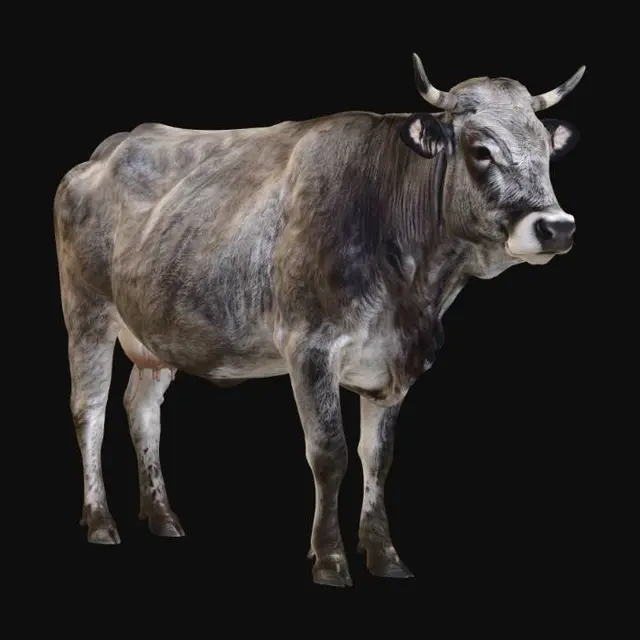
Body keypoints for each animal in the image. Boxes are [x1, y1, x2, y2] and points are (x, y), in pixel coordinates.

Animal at [54, 53, 584, 587]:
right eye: (481, 150)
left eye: (546, 150)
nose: (556, 228)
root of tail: (108, 150)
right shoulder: (308, 346)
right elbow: (329, 453)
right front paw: (329, 559)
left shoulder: (391, 361)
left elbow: (378, 457)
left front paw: (384, 554)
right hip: (87, 313)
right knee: (90, 410)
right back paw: (100, 521)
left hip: (156, 334)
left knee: (142, 411)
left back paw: (163, 516)